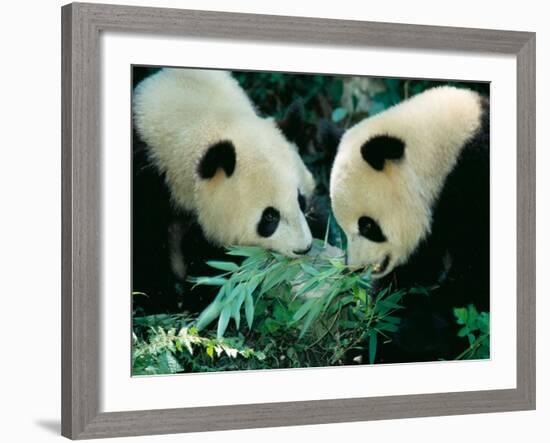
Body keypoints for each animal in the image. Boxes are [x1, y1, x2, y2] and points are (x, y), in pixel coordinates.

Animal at [131, 68, 316, 312]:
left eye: (301, 200)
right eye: (269, 217)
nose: (303, 249)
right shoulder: (148, 179)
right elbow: (146, 249)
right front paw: (165, 301)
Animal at [328, 86, 492, 364]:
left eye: (367, 226)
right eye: (343, 227)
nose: (356, 267)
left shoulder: (475, 186)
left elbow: (473, 279)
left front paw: (412, 339)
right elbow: (410, 274)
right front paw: (372, 341)